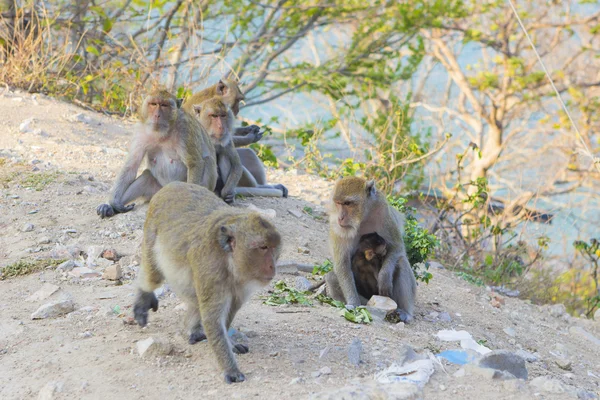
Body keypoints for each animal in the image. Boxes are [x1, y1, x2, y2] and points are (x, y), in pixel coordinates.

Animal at [97, 89, 219, 219]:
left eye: (164, 105)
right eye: (154, 104)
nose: (157, 115)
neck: (163, 133)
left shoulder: (185, 129)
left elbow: (194, 163)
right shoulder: (140, 130)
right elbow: (131, 166)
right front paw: (113, 202)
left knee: (208, 160)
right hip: (156, 191)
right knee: (146, 177)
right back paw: (111, 208)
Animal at [133, 182, 282, 384]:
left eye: (274, 248)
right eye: (263, 247)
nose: (273, 266)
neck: (229, 260)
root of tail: (172, 185)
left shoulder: (242, 282)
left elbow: (230, 310)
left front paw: (230, 343)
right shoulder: (210, 269)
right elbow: (213, 319)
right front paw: (230, 368)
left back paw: (190, 329)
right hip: (151, 231)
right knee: (153, 275)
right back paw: (144, 297)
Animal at [324, 177, 418, 322]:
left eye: (348, 203)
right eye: (338, 203)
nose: (340, 217)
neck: (362, 218)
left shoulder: (383, 211)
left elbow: (397, 247)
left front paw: (384, 277)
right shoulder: (338, 228)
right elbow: (342, 264)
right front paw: (353, 303)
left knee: (401, 261)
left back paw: (405, 313)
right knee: (332, 277)